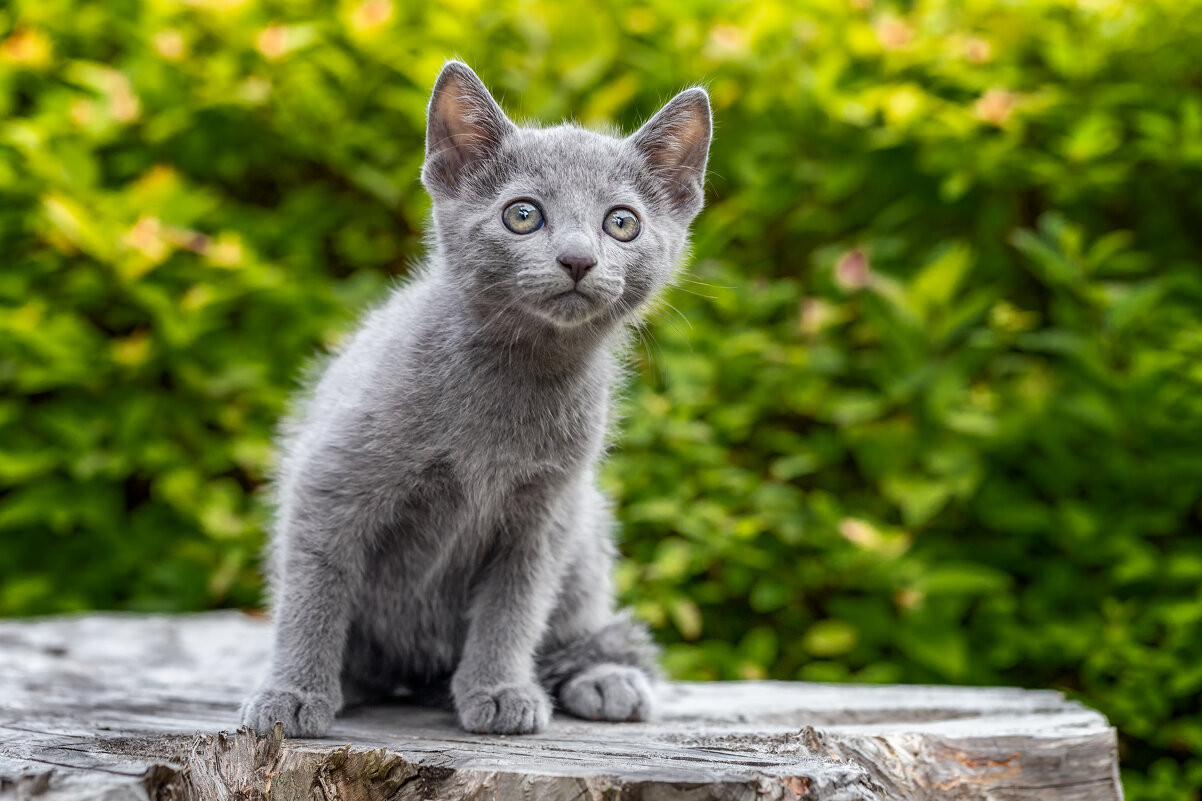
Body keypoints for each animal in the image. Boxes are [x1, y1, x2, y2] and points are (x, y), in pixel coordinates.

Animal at [241, 62, 711, 731]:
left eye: (622, 223)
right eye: (523, 215)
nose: (578, 259)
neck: (516, 375)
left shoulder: (544, 513)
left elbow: (513, 609)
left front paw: (498, 687)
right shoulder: (329, 485)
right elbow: (314, 593)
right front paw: (294, 693)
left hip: (587, 524)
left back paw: (600, 678)